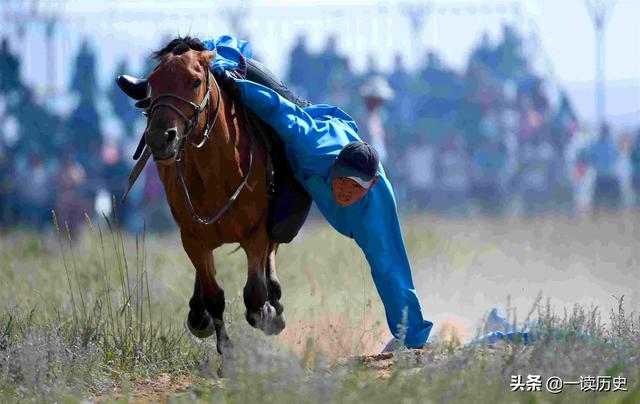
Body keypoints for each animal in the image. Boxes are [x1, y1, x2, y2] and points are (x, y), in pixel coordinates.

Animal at [139, 40, 284, 354]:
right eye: (153, 82)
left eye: (195, 81)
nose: (159, 137)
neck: (217, 172)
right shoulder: (192, 237)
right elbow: (214, 295)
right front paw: (225, 349)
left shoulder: (256, 231)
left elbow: (255, 294)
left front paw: (268, 312)